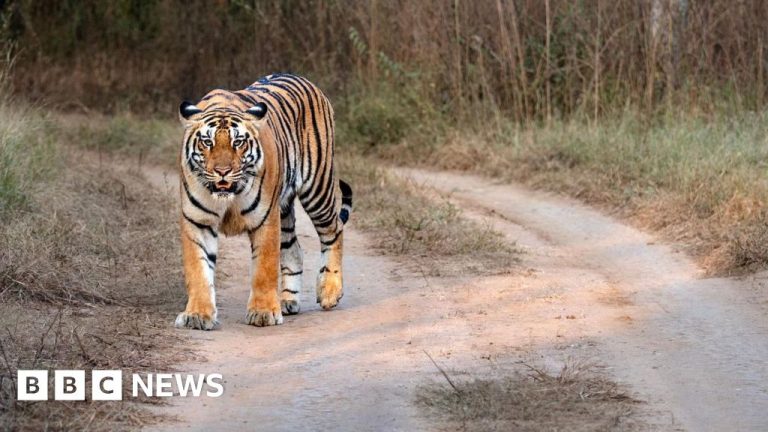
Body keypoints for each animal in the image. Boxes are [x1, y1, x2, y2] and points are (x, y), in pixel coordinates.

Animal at [176, 73, 352, 330]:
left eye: (238, 142)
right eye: (207, 142)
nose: (222, 172)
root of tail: (303, 79)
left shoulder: (265, 218)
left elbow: (264, 268)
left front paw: (263, 312)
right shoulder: (197, 221)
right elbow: (197, 269)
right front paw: (197, 314)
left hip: (317, 187)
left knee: (333, 230)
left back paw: (329, 291)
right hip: (285, 208)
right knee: (295, 249)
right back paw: (288, 301)